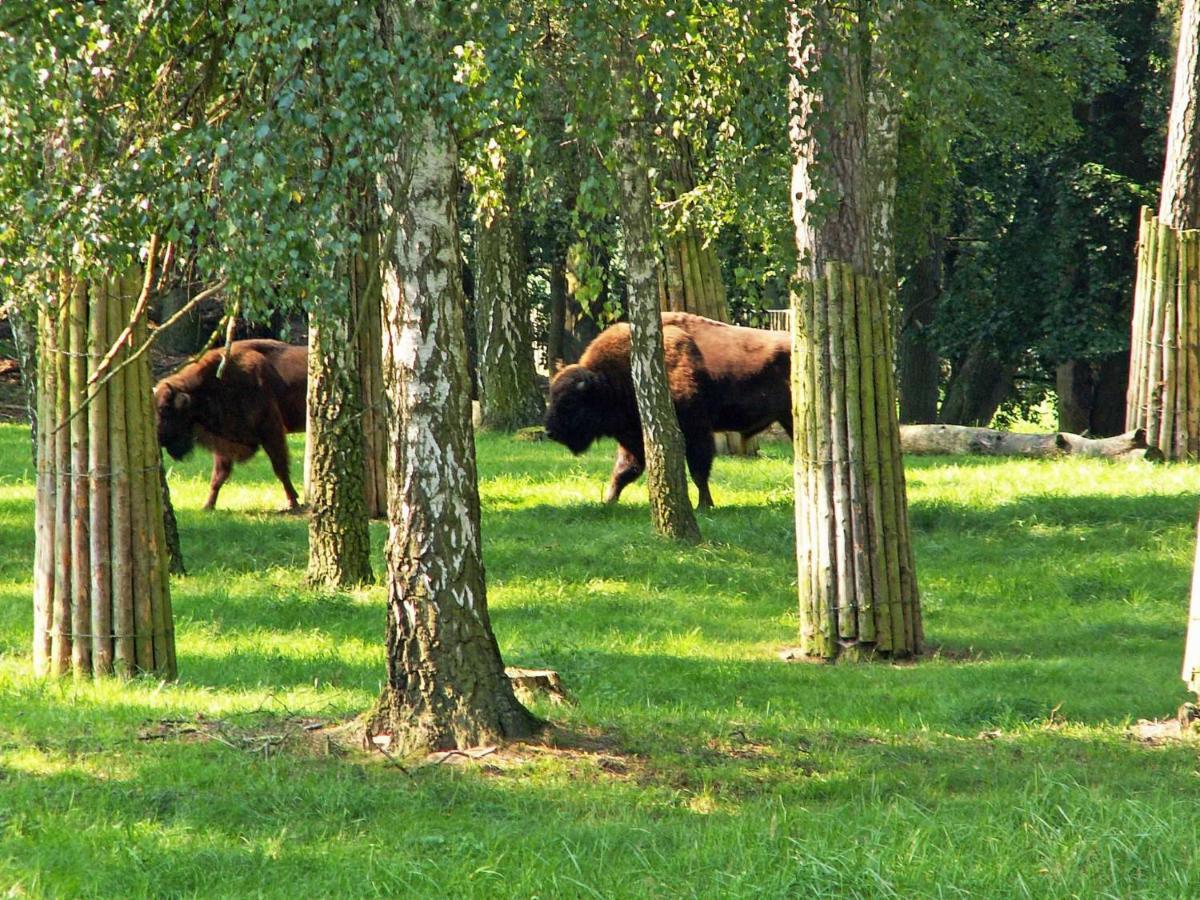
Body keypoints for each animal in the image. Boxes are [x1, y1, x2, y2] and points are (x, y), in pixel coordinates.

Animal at [152, 338, 309, 511]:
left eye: (165, 409)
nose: (156, 437)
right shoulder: (225, 440)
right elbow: (219, 475)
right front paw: (207, 506)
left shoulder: (271, 431)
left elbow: (280, 468)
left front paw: (293, 502)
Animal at [542, 314, 787, 508]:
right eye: (552, 396)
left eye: (570, 402)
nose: (550, 432)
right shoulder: (635, 438)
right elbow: (623, 471)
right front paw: (607, 502)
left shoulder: (695, 430)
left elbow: (699, 469)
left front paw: (704, 506)